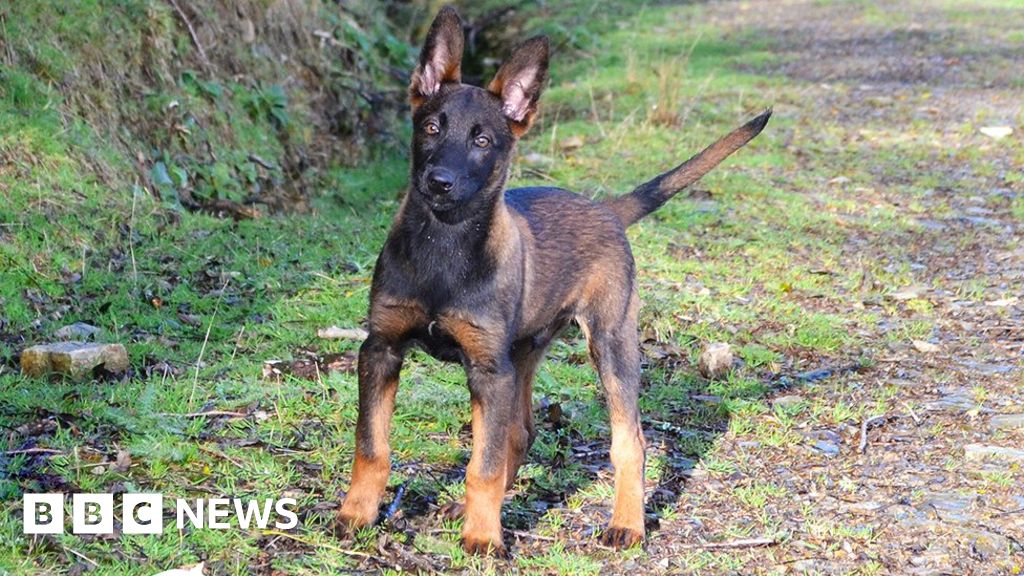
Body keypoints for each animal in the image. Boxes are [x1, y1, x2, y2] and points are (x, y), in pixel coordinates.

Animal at [335, 3, 770, 553]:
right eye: (431, 127)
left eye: (482, 140)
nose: (439, 182)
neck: (445, 244)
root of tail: (607, 210)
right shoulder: (383, 349)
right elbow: (372, 446)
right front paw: (356, 515)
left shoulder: (488, 369)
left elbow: (483, 464)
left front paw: (483, 538)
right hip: (523, 353)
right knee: (521, 434)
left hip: (609, 342)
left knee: (628, 440)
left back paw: (626, 523)